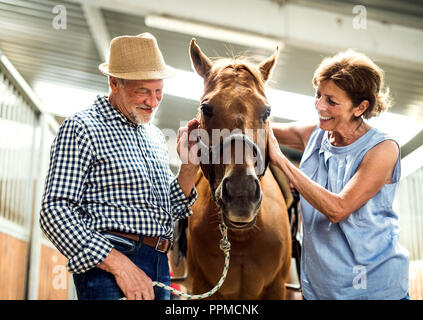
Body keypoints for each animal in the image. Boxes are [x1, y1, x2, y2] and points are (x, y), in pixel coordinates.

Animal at [181, 40, 292, 300]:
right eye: (206, 108)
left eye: (267, 111)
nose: (241, 193)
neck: (242, 239)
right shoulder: (202, 286)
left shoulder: (277, 288)